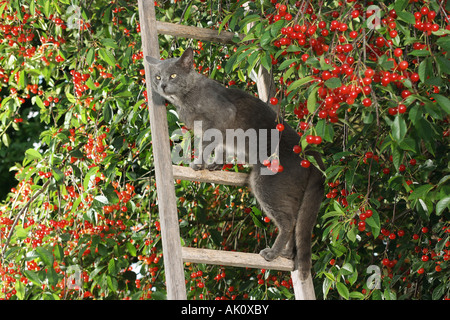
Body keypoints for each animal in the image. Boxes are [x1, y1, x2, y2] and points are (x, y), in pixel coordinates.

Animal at [146, 48, 326, 280]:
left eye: (173, 75)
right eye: (158, 77)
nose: (162, 86)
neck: (185, 99)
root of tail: (311, 155)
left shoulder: (219, 118)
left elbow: (206, 143)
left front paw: (198, 164)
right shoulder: (222, 135)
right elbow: (221, 147)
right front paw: (214, 165)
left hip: (266, 184)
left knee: (288, 222)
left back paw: (272, 253)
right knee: (296, 222)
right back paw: (286, 254)